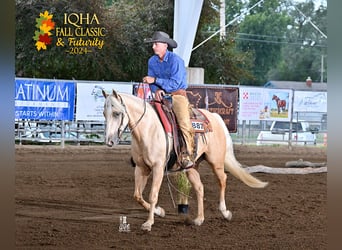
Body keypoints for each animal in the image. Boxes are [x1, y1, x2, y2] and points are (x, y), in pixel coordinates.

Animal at [101, 89, 268, 231]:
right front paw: (159, 211)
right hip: (191, 167)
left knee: (222, 180)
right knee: (200, 187)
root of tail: (216, 117)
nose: (109, 141)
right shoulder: (141, 168)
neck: (148, 129)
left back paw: (225, 212)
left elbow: (153, 195)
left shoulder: (158, 167)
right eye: (104, 113)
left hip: (216, 162)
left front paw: (148, 223)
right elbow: (137, 195)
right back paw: (199, 219)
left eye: (117, 113)